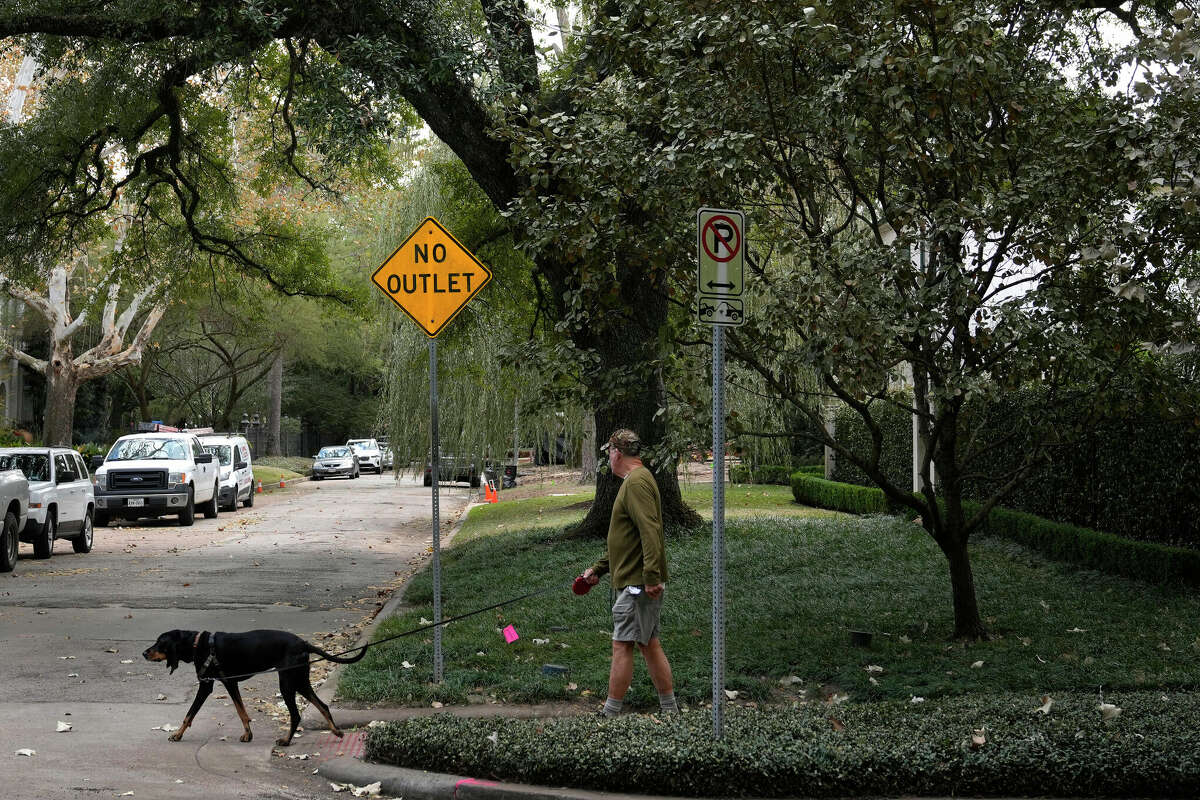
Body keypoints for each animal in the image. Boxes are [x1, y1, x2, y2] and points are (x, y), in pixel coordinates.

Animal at [142, 628, 364, 748]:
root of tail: (304, 643)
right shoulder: (231, 683)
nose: (144, 653)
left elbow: (190, 713)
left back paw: (286, 740)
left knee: (296, 714)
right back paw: (336, 731)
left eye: (160, 642)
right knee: (323, 705)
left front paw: (177, 734)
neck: (198, 644)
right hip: (300, 681)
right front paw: (248, 734)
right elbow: (242, 712)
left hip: (287, 683)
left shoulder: (207, 686)